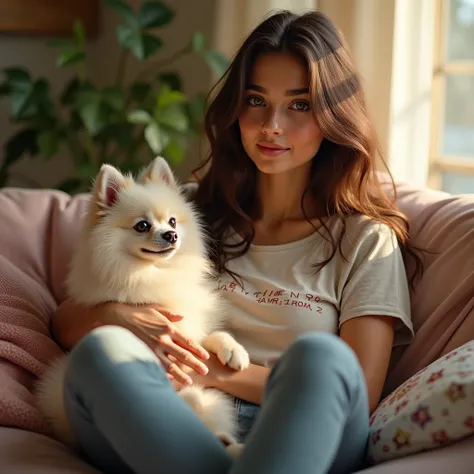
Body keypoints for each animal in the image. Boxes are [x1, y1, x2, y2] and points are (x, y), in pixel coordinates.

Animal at [35, 157, 250, 458]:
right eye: (142, 226)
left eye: (172, 220)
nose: (171, 234)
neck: (151, 273)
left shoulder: (190, 329)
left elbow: (209, 337)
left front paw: (234, 351)